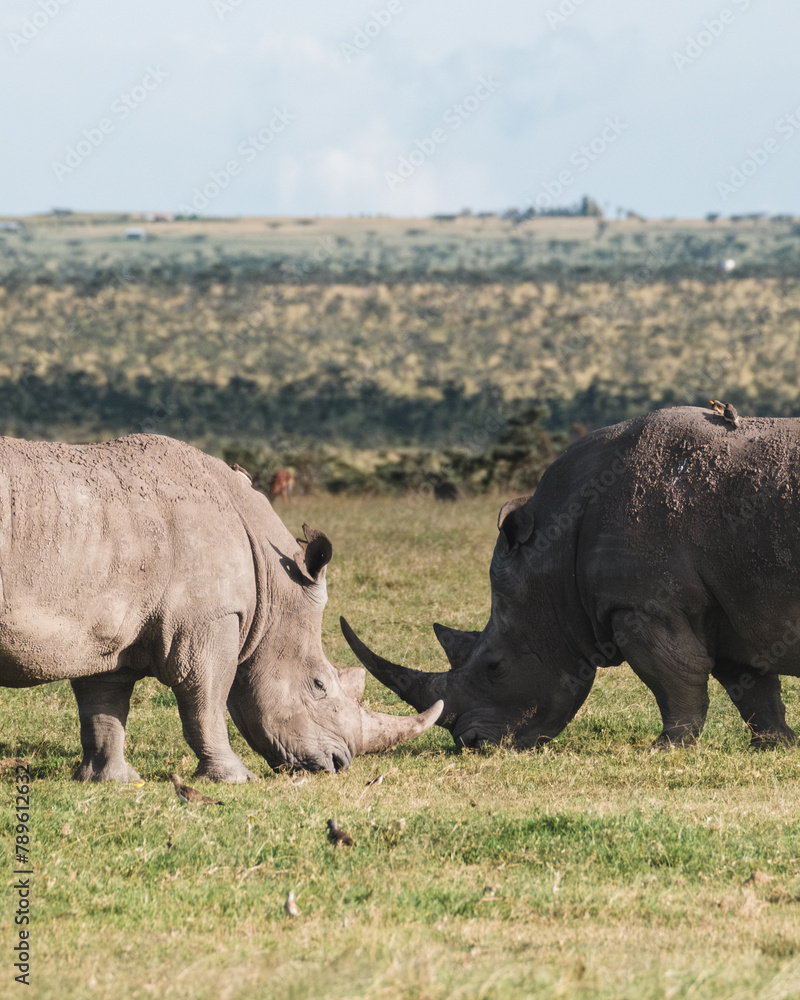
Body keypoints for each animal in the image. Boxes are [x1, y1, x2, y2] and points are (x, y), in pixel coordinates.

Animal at [0, 434, 441, 781]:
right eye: (319, 686)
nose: (339, 763)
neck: (273, 583)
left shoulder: (107, 625)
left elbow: (103, 705)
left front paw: (111, 780)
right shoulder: (208, 618)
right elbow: (206, 700)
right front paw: (234, 778)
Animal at [343, 406, 800, 751]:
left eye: (495, 667)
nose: (472, 744)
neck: (555, 554)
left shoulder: (642, 604)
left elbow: (676, 675)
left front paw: (667, 747)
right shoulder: (728, 603)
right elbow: (749, 683)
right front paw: (775, 745)